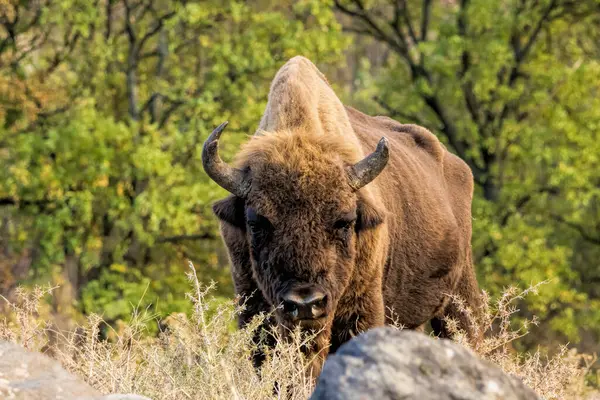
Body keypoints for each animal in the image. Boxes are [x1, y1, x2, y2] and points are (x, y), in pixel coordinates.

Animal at [204, 55, 480, 376]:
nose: (305, 302)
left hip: (460, 297)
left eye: (345, 221)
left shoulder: (362, 308)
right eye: (256, 222)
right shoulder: (254, 308)